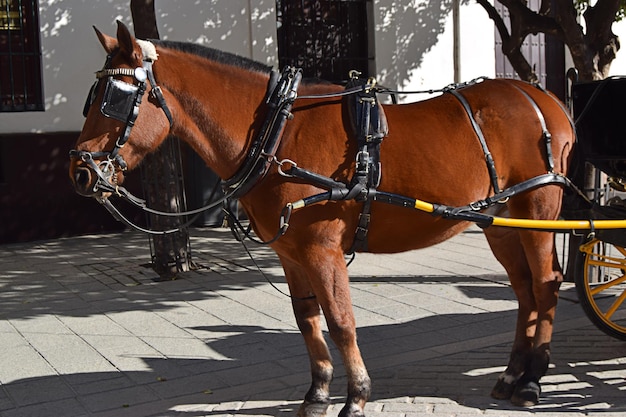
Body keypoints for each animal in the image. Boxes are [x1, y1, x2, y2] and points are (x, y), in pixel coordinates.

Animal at [70, 23, 572, 416]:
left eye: (115, 99)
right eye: (90, 97)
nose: (80, 171)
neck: (277, 130)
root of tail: (538, 95)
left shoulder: (322, 249)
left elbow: (341, 320)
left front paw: (357, 396)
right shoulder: (291, 254)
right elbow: (307, 319)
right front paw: (317, 394)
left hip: (537, 208)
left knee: (546, 283)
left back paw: (532, 380)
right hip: (499, 219)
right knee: (524, 288)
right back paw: (511, 374)